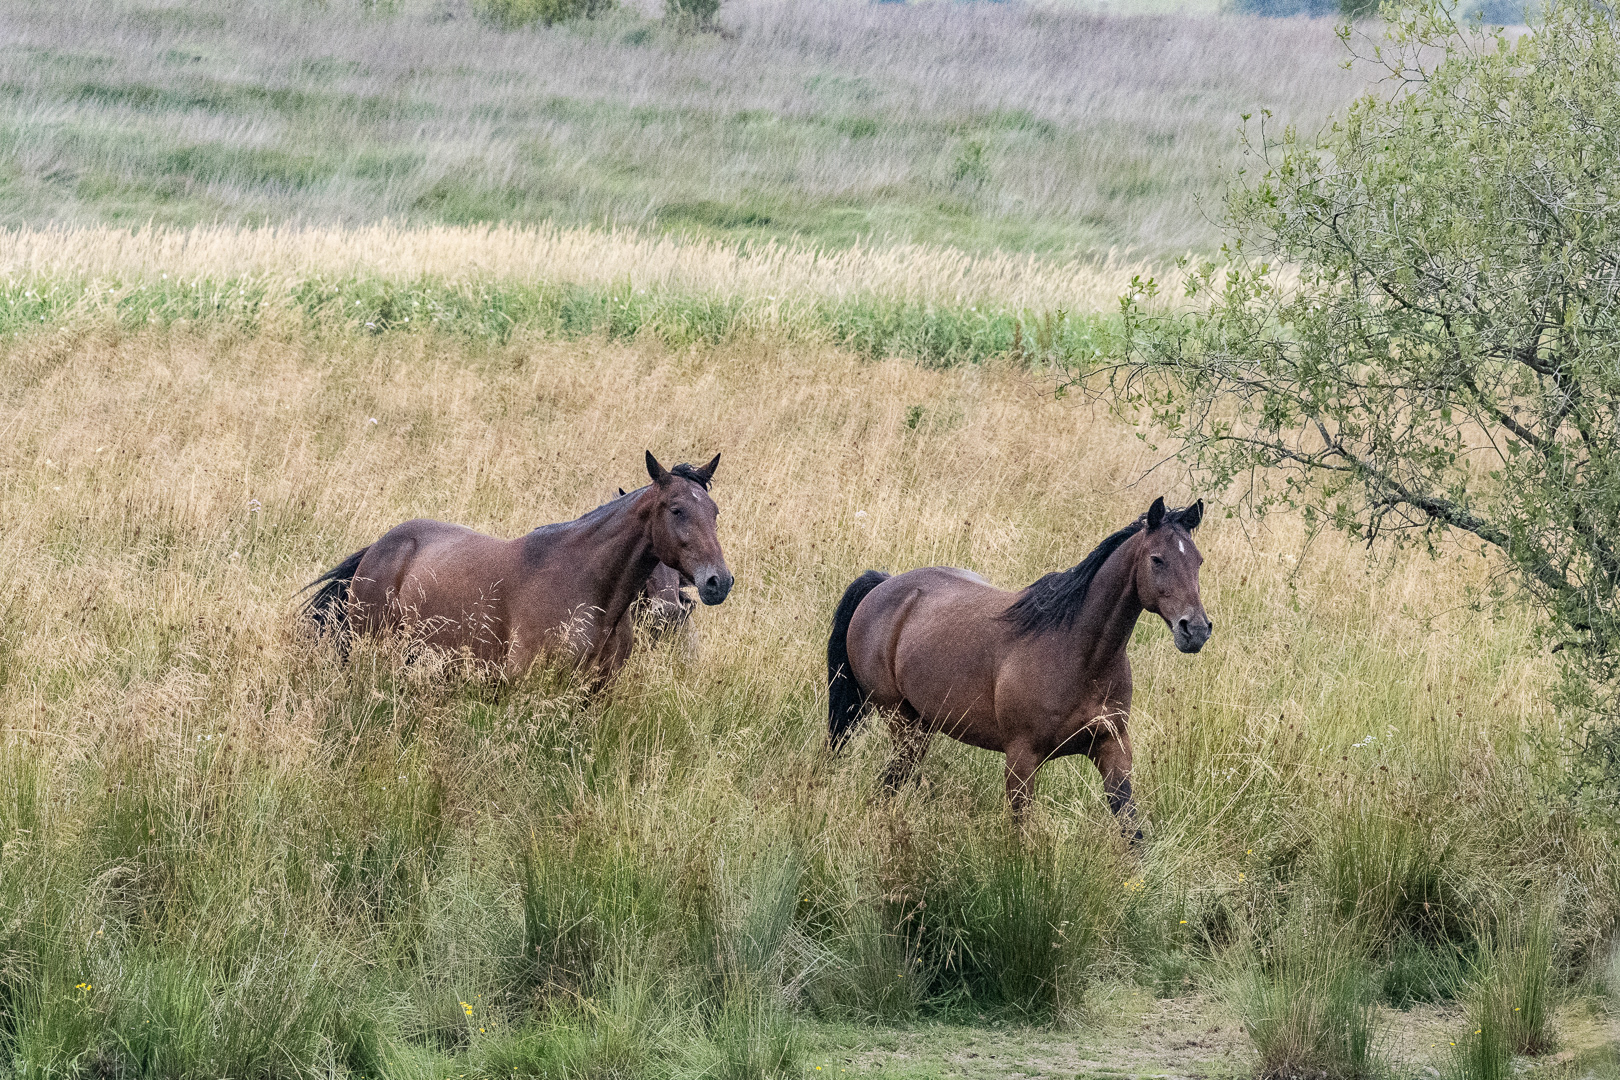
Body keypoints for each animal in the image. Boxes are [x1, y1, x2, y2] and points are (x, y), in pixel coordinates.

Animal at [824, 496, 1210, 831]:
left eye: (1198, 561)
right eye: (1157, 559)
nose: (1195, 629)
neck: (1078, 654)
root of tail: (885, 583)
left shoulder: (1111, 746)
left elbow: (1131, 828)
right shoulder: (1021, 758)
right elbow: (1021, 831)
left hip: (921, 724)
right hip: (901, 722)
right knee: (893, 781)